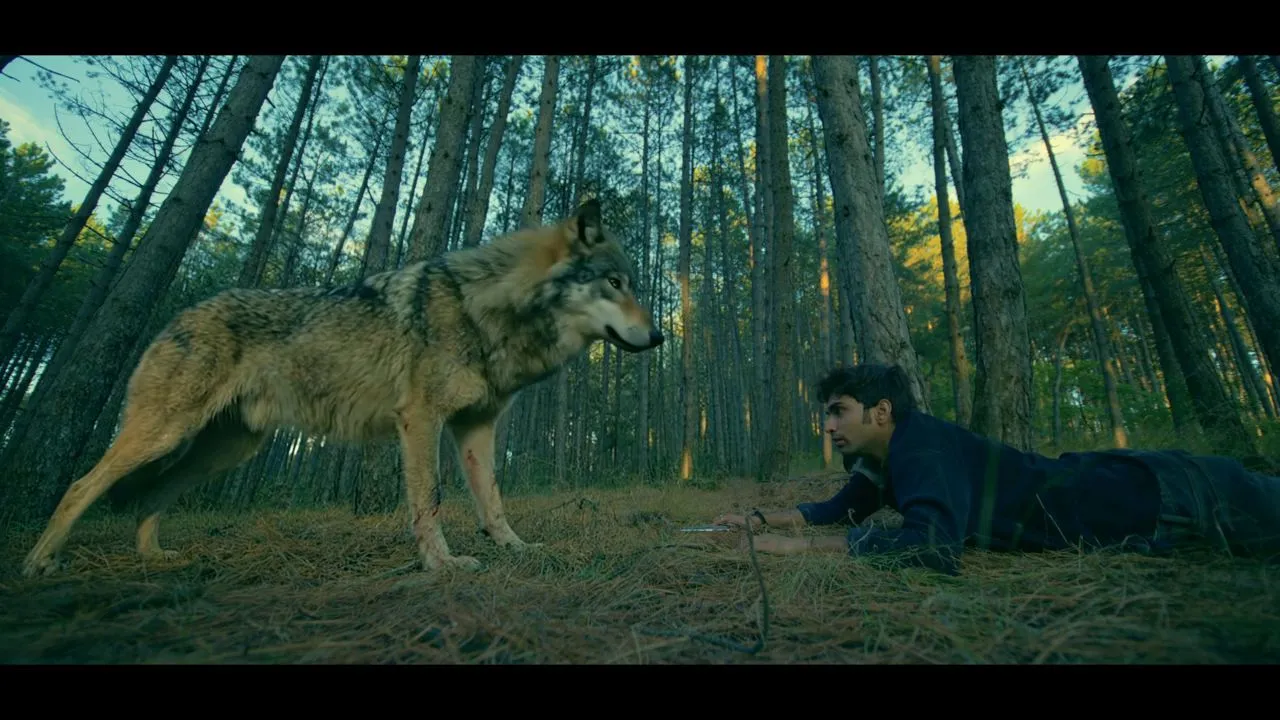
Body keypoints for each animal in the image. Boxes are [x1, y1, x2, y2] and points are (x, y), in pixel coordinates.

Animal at [22, 198, 663, 578]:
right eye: (615, 282)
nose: (658, 336)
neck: (487, 309)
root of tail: (179, 314)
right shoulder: (421, 420)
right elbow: (429, 499)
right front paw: (442, 564)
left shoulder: (476, 428)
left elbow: (494, 501)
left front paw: (516, 550)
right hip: (165, 434)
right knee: (81, 485)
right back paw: (38, 562)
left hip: (223, 452)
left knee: (152, 497)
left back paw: (156, 558)